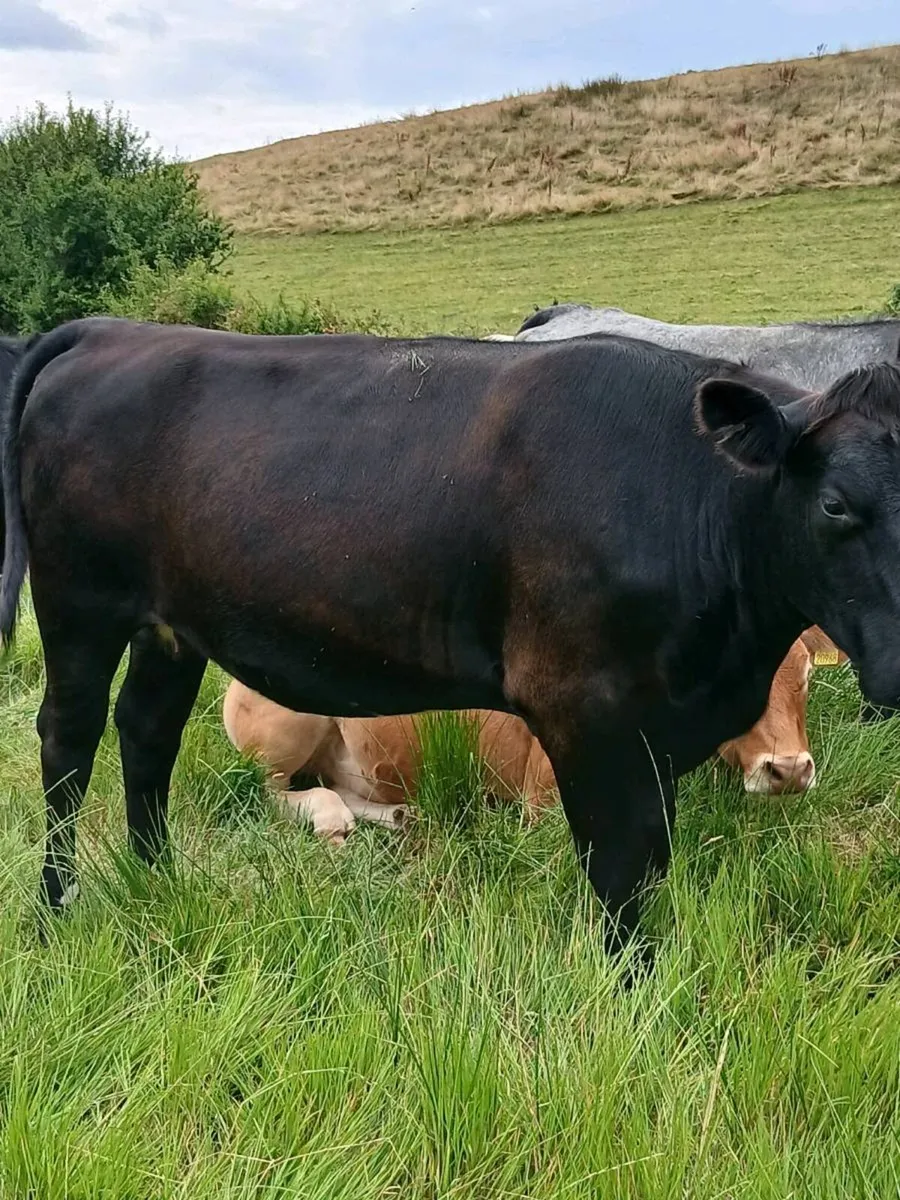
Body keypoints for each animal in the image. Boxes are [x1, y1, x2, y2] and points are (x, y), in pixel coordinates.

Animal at [5, 316, 900, 957]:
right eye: (833, 504)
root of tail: (109, 329)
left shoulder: (655, 729)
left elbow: (651, 859)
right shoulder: (586, 716)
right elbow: (621, 868)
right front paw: (631, 989)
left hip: (169, 627)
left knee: (146, 730)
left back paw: (157, 877)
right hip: (78, 602)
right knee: (68, 742)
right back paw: (56, 911)